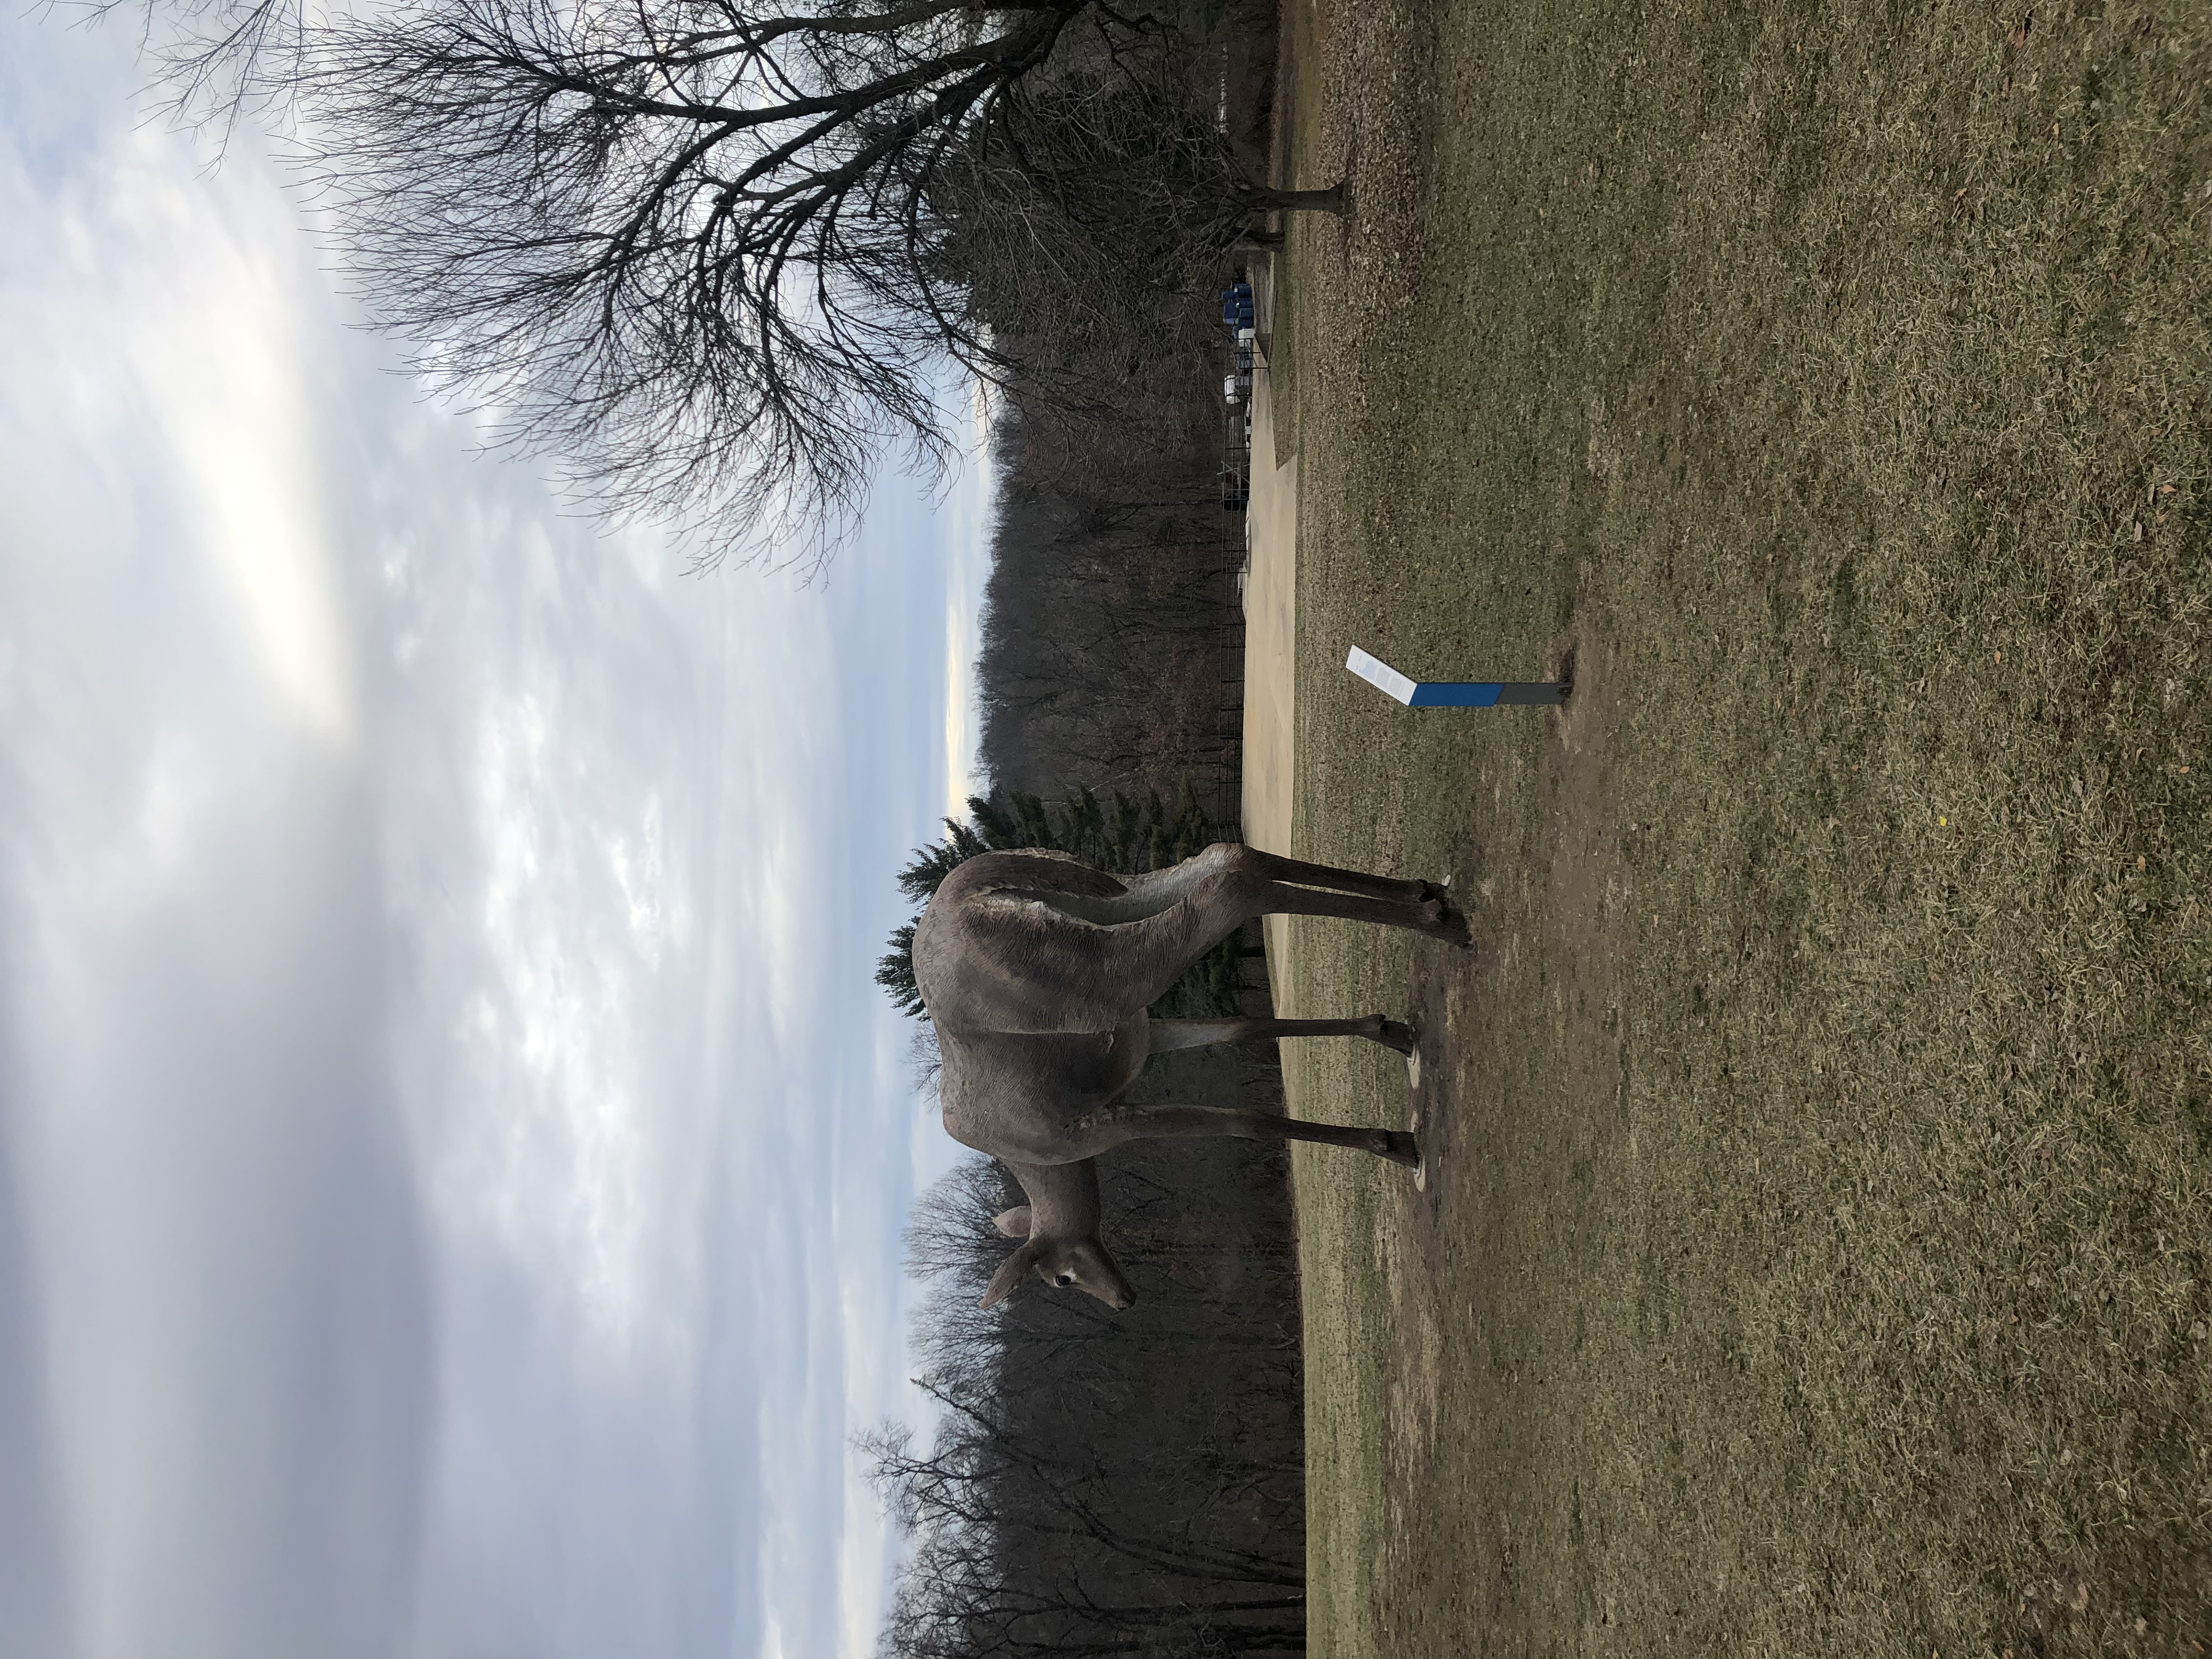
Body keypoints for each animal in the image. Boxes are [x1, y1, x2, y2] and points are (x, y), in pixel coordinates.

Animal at [912, 841, 1466, 1309]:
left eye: (1060, 1279)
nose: (1124, 1300)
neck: (1037, 1159)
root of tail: (974, 888)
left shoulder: (1100, 1128)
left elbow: (1245, 1121)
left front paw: (1392, 1143)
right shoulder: (1144, 1038)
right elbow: (1244, 1026)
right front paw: (1387, 1032)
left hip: (1103, 974)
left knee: (1225, 892)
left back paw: (1440, 925)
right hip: (1113, 897)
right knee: (1231, 857)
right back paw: (1427, 894)